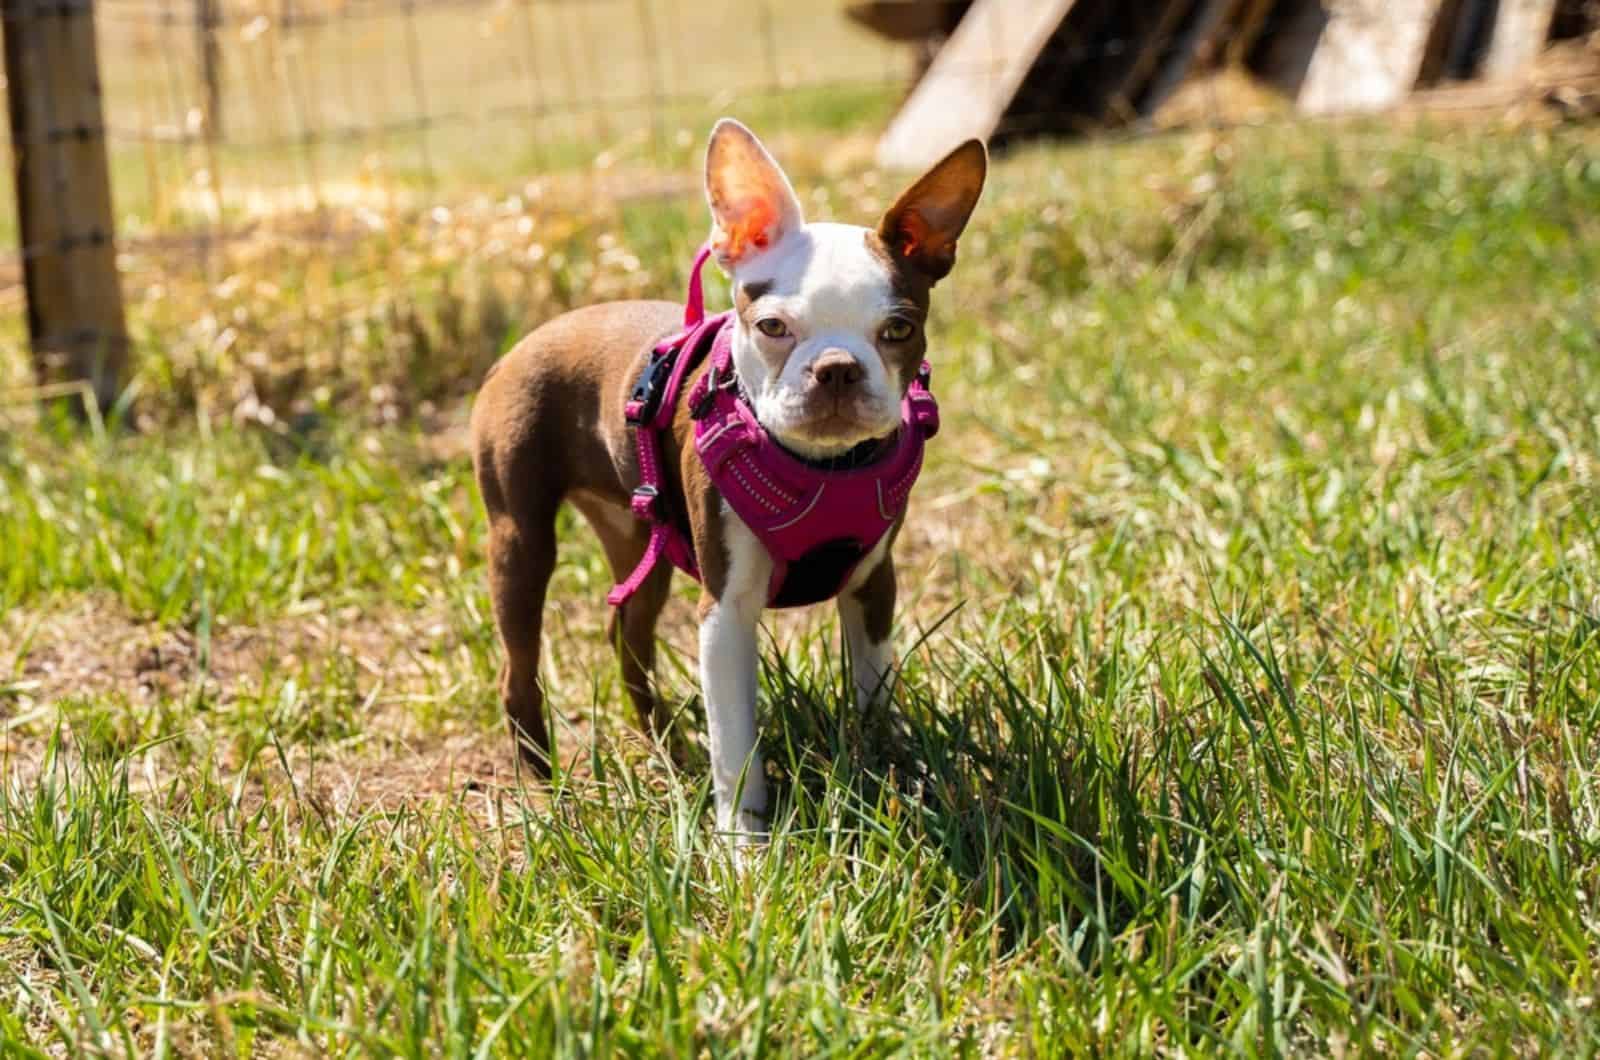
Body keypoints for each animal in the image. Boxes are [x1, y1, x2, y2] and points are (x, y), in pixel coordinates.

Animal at [467, 116, 979, 845]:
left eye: (899, 328)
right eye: (772, 326)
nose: (837, 369)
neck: (820, 467)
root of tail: (526, 341)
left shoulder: (874, 584)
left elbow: (873, 694)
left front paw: (896, 777)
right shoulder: (726, 612)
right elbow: (737, 743)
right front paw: (745, 845)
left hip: (642, 539)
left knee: (628, 637)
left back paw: (666, 746)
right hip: (522, 538)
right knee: (519, 668)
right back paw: (546, 785)